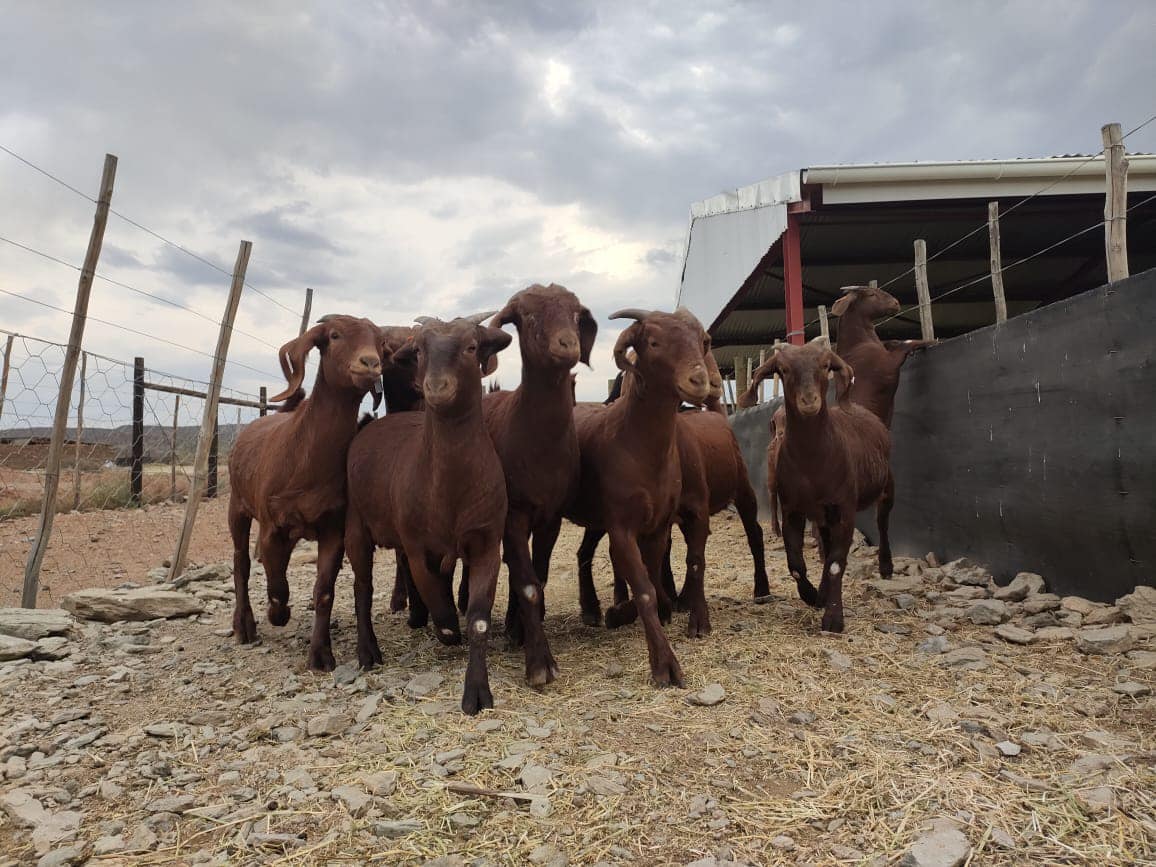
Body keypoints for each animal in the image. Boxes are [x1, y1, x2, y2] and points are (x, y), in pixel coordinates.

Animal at [227, 315, 384, 669]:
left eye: (380, 342)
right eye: (335, 335)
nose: (370, 363)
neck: (305, 460)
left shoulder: (332, 528)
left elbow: (323, 590)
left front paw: (321, 654)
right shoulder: (272, 525)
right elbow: (277, 584)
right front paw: (278, 614)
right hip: (237, 506)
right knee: (241, 561)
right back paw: (244, 626)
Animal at [344, 314, 512, 714]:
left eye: (471, 346)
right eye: (419, 350)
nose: (436, 387)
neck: (450, 489)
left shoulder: (486, 544)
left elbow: (477, 620)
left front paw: (477, 693)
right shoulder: (420, 547)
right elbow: (440, 605)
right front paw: (446, 629)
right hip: (356, 525)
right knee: (362, 587)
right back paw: (369, 651)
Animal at [558, 308, 712, 686]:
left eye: (702, 340)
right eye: (653, 342)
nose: (698, 380)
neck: (636, 444)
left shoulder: (656, 526)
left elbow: (653, 580)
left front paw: (627, 612)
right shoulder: (622, 526)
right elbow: (643, 587)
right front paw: (665, 665)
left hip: (596, 518)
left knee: (584, 552)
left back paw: (591, 608)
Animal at [742, 339, 894, 632]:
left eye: (826, 365)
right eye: (783, 369)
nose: (809, 401)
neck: (813, 462)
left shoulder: (844, 508)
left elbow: (836, 563)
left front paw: (833, 619)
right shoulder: (793, 509)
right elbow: (795, 563)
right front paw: (811, 595)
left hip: (886, 484)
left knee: (883, 521)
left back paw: (886, 566)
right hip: (823, 514)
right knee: (826, 541)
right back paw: (822, 593)